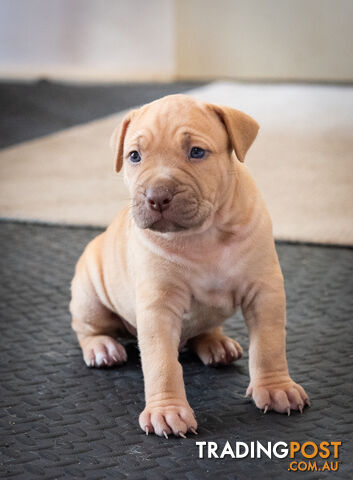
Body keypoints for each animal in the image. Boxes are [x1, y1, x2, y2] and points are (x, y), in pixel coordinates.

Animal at [71, 93, 308, 436]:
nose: (157, 196)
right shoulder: (158, 307)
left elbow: (269, 344)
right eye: (134, 156)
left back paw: (216, 343)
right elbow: (162, 364)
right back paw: (102, 347)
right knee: (87, 328)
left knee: (205, 329)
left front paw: (277, 387)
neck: (203, 234)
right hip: (90, 293)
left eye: (196, 152)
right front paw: (167, 411)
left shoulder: (265, 290)